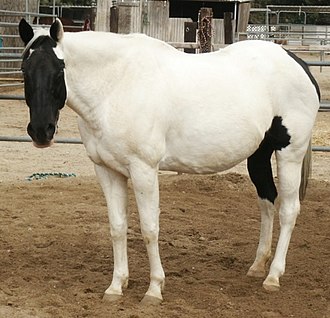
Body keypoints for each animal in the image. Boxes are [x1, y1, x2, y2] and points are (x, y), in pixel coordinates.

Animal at [18, 18, 320, 306]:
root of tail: (298, 64)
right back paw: (258, 266)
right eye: (24, 70)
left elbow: (149, 229)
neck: (116, 86)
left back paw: (273, 276)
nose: (41, 131)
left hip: (289, 154)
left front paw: (154, 290)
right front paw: (116, 286)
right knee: (267, 201)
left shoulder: (144, 170)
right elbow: (117, 228)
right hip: (258, 155)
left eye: (59, 70)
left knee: (288, 210)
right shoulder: (108, 171)